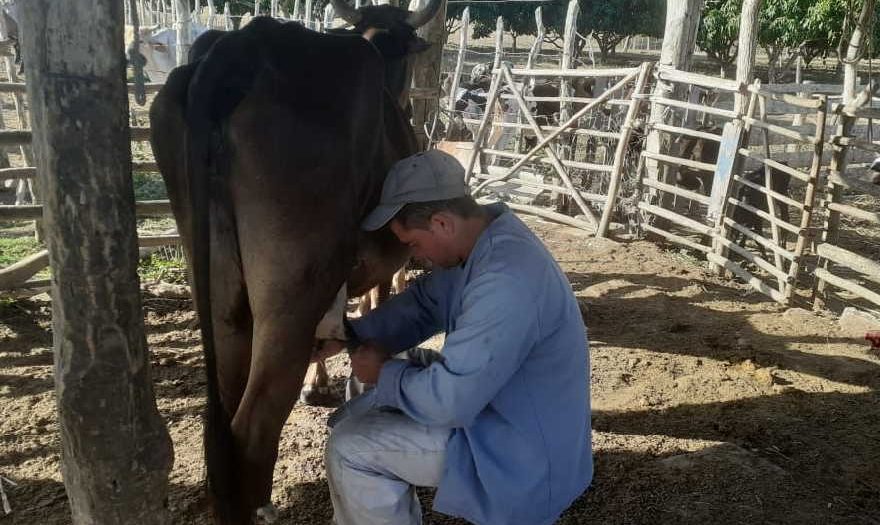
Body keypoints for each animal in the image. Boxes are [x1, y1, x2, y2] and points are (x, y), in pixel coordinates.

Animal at [149, 2, 446, 520]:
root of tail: (243, 44)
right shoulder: (382, 262)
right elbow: (375, 304)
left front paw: (320, 383)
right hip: (294, 289)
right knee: (252, 429)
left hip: (221, 291)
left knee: (222, 419)